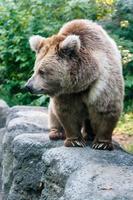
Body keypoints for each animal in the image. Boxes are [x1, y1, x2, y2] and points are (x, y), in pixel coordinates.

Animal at [25, 19, 124, 150]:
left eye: (42, 71)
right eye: (35, 69)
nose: (28, 86)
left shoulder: (104, 80)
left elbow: (106, 108)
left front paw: (102, 144)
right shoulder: (66, 92)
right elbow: (68, 112)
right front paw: (74, 141)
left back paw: (90, 134)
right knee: (52, 112)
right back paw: (56, 133)